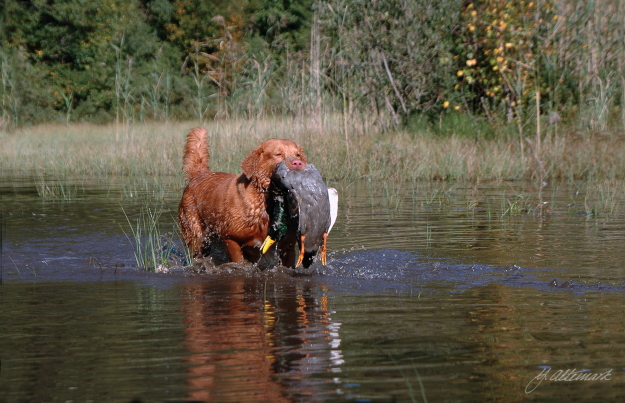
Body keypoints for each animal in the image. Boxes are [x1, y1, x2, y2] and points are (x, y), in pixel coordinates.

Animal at [177, 127, 306, 266]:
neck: (264, 203)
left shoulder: (287, 246)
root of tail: (198, 176)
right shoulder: (231, 239)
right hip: (196, 237)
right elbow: (239, 261)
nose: (297, 163)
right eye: (278, 154)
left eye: (298, 155)